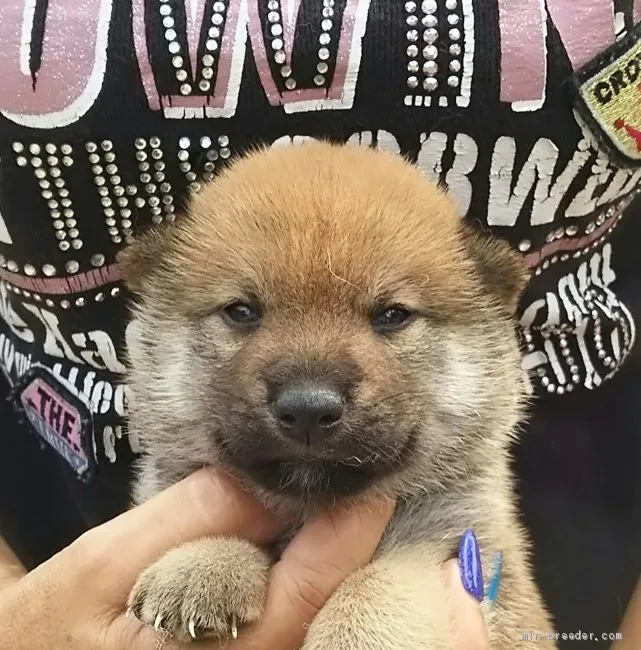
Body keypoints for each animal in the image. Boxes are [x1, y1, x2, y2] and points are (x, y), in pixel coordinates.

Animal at [119, 142, 556, 648]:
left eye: (392, 315)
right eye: (241, 311)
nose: (308, 410)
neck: (307, 509)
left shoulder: (462, 549)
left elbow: (380, 586)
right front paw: (200, 563)